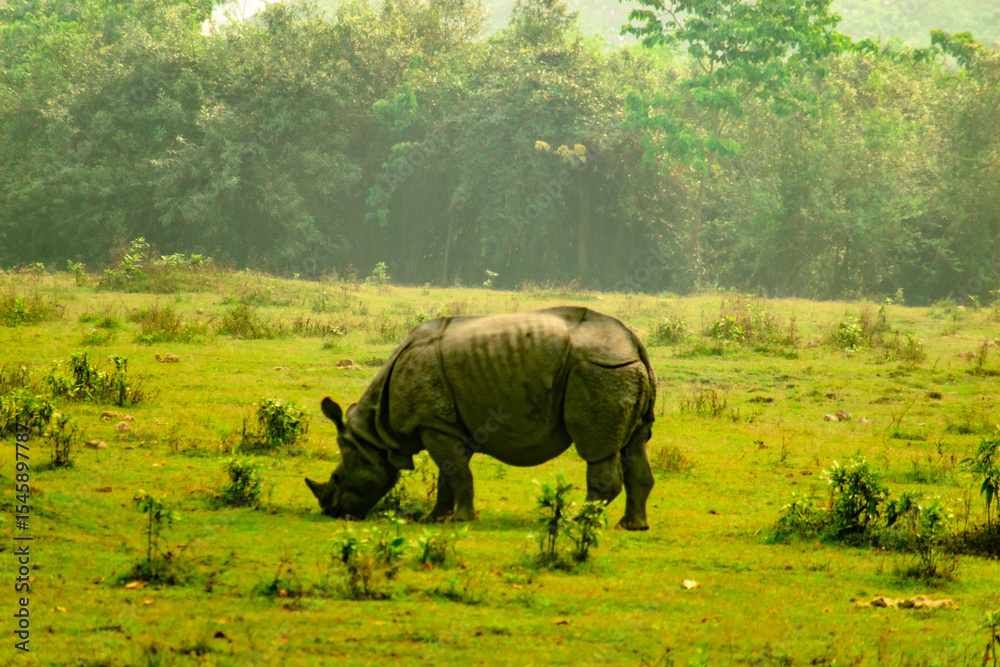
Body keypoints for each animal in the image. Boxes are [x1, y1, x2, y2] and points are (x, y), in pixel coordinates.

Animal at [305, 306, 656, 530]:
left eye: (337, 477)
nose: (330, 511)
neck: (376, 432)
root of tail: (634, 344)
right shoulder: (447, 427)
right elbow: (448, 475)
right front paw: (434, 520)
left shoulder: (433, 424)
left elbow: (458, 474)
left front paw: (461, 520)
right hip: (621, 369)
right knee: (636, 445)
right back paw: (632, 527)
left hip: (599, 368)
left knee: (597, 450)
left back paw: (575, 521)